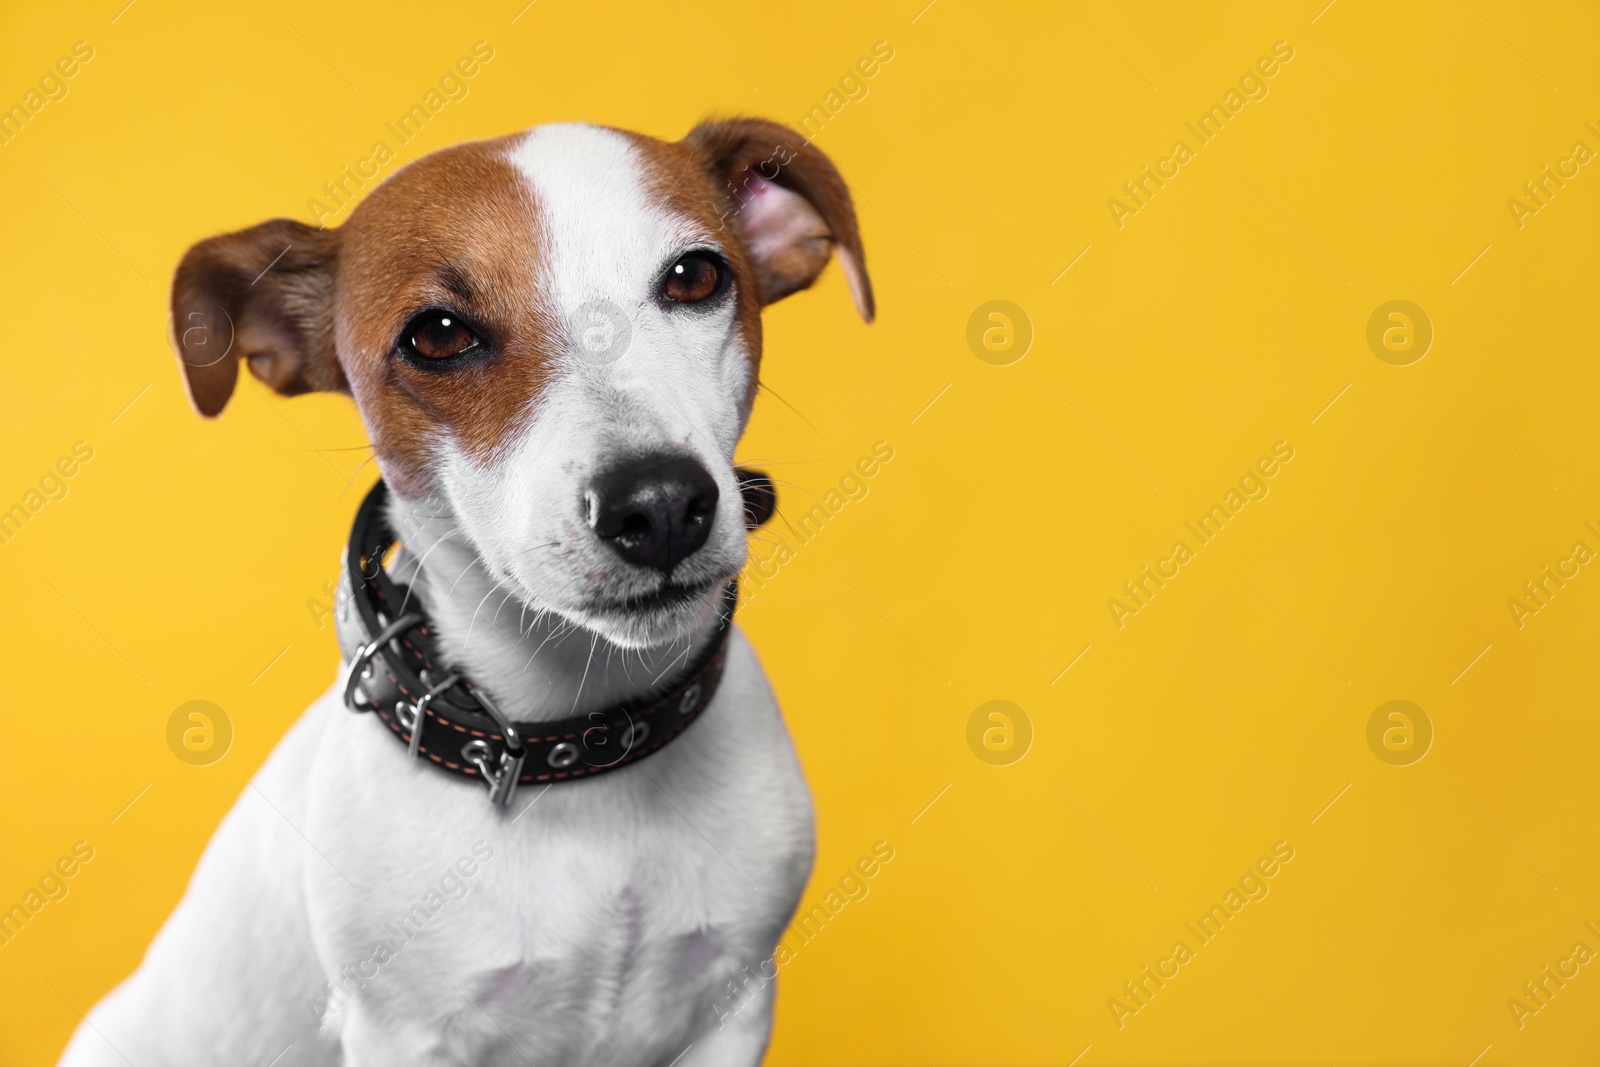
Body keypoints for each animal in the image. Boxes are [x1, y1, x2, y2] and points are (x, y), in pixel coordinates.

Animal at [56, 119, 876, 1067]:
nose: (662, 505)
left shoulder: (732, 1006)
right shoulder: (405, 1035)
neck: (581, 742)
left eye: (696, 276)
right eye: (439, 334)